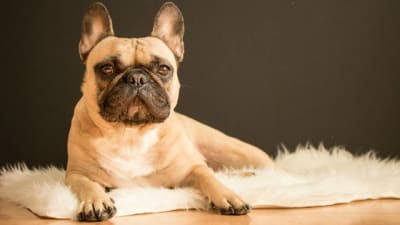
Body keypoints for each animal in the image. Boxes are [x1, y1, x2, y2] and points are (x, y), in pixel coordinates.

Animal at [65, 1, 274, 221]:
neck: (131, 134)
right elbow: (87, 184)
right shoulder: (76, 173)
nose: (137, 78)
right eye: (107, 68)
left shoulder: (192, 167)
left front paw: (227, 196)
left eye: (163, 69)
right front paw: (96, 201)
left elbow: (207, 176)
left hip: (236, 151)